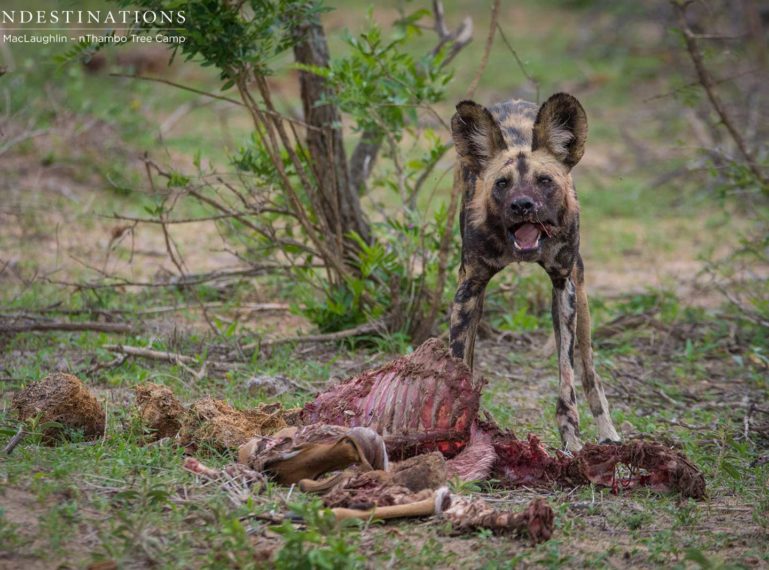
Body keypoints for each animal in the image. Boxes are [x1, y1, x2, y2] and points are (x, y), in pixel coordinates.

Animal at [448, 92, 620, 448]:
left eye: (544, 181)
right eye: (502, 183)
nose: (522, 205)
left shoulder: (563, 286)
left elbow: (567, 379)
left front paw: (572, 443)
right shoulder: (468, 288)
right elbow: (457, 361)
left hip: (581, 297)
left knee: (589, 372)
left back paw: (608, 432)